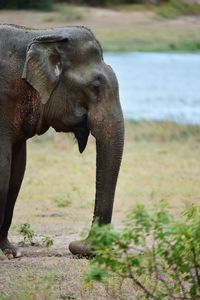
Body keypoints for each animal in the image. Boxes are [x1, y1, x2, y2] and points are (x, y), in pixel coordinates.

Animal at [0, 24, 123, 258]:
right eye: (95, 87)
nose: (78, 246)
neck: (40, 35)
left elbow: (17, 171)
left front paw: (10, 252)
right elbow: (3, 167)